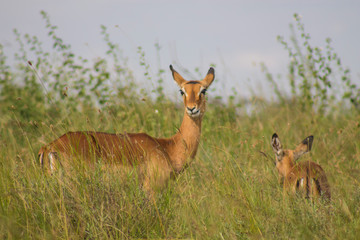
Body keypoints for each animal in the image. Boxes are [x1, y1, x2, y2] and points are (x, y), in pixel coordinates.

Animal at [38, 65, 215, 195]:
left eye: (203, 90)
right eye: (182, 91)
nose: (192, 108)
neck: (168, 148)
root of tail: (49, 147)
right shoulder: (151, 191)